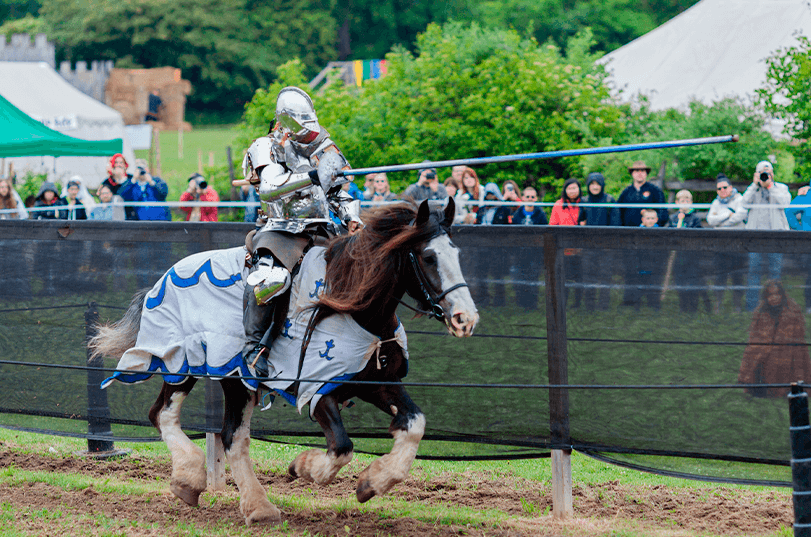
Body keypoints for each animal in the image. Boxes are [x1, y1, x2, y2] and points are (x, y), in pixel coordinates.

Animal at [89, 199, 478, 524]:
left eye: (457, 254)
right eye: (428, 257)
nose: (465, 319)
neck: (353, 305)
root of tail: (163, 280)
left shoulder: (373, 381)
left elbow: (414, 425)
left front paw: (373, 482)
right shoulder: (318, 392)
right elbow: (342, 447)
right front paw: (302, 467)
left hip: (235, 380)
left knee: (232, 437)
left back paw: (257, 507)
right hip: (182, 362)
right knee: (165, 415)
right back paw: (190, 478)